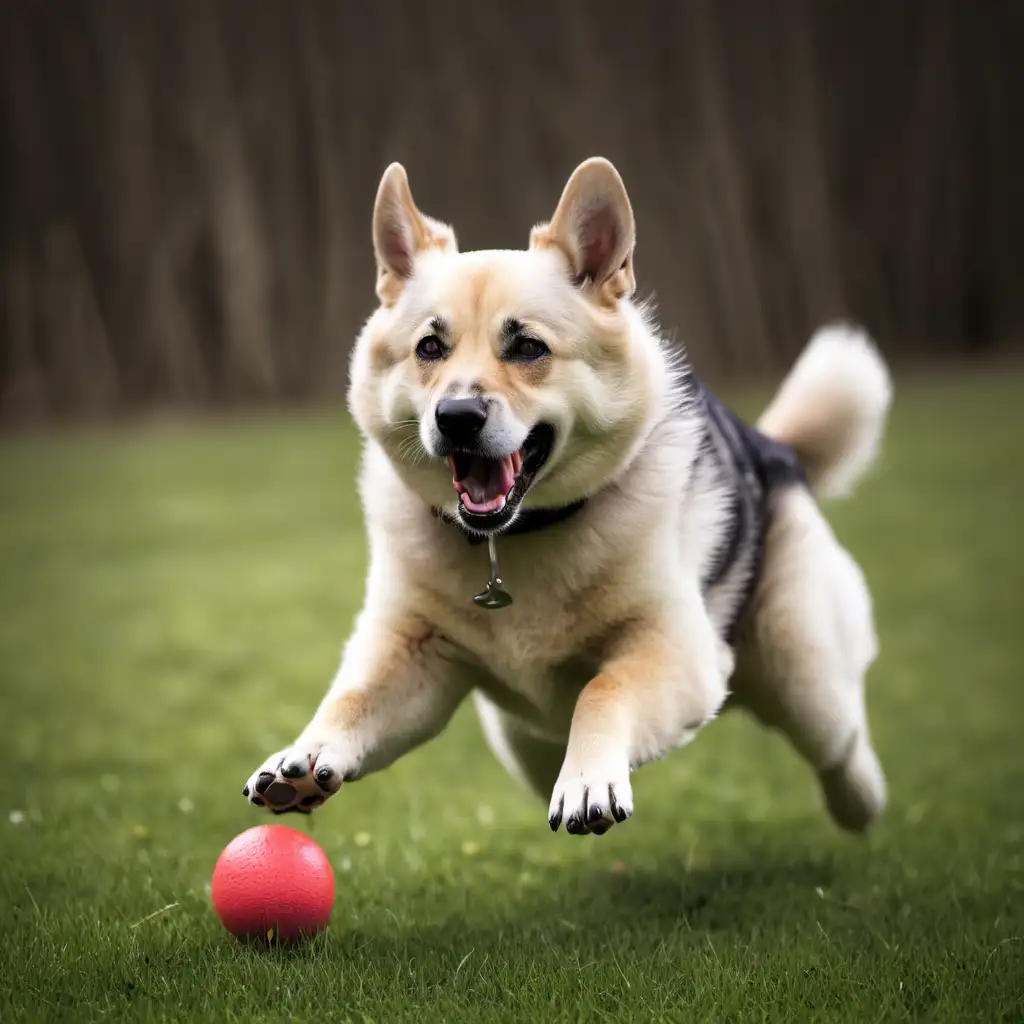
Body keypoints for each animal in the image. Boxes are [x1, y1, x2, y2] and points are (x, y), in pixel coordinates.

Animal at [243, 155, 892, 835]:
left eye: (528, 347)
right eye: (429, 348)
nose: (456, 417)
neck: (513, 540)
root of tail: (776, 447)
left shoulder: (676, 651)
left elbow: (602, 691)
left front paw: (587, 781)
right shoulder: (412, 653)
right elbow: (352, 697)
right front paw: (305, 754)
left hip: (802, 670)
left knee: (841, 742)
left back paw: (861, 805)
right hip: (523, 740)